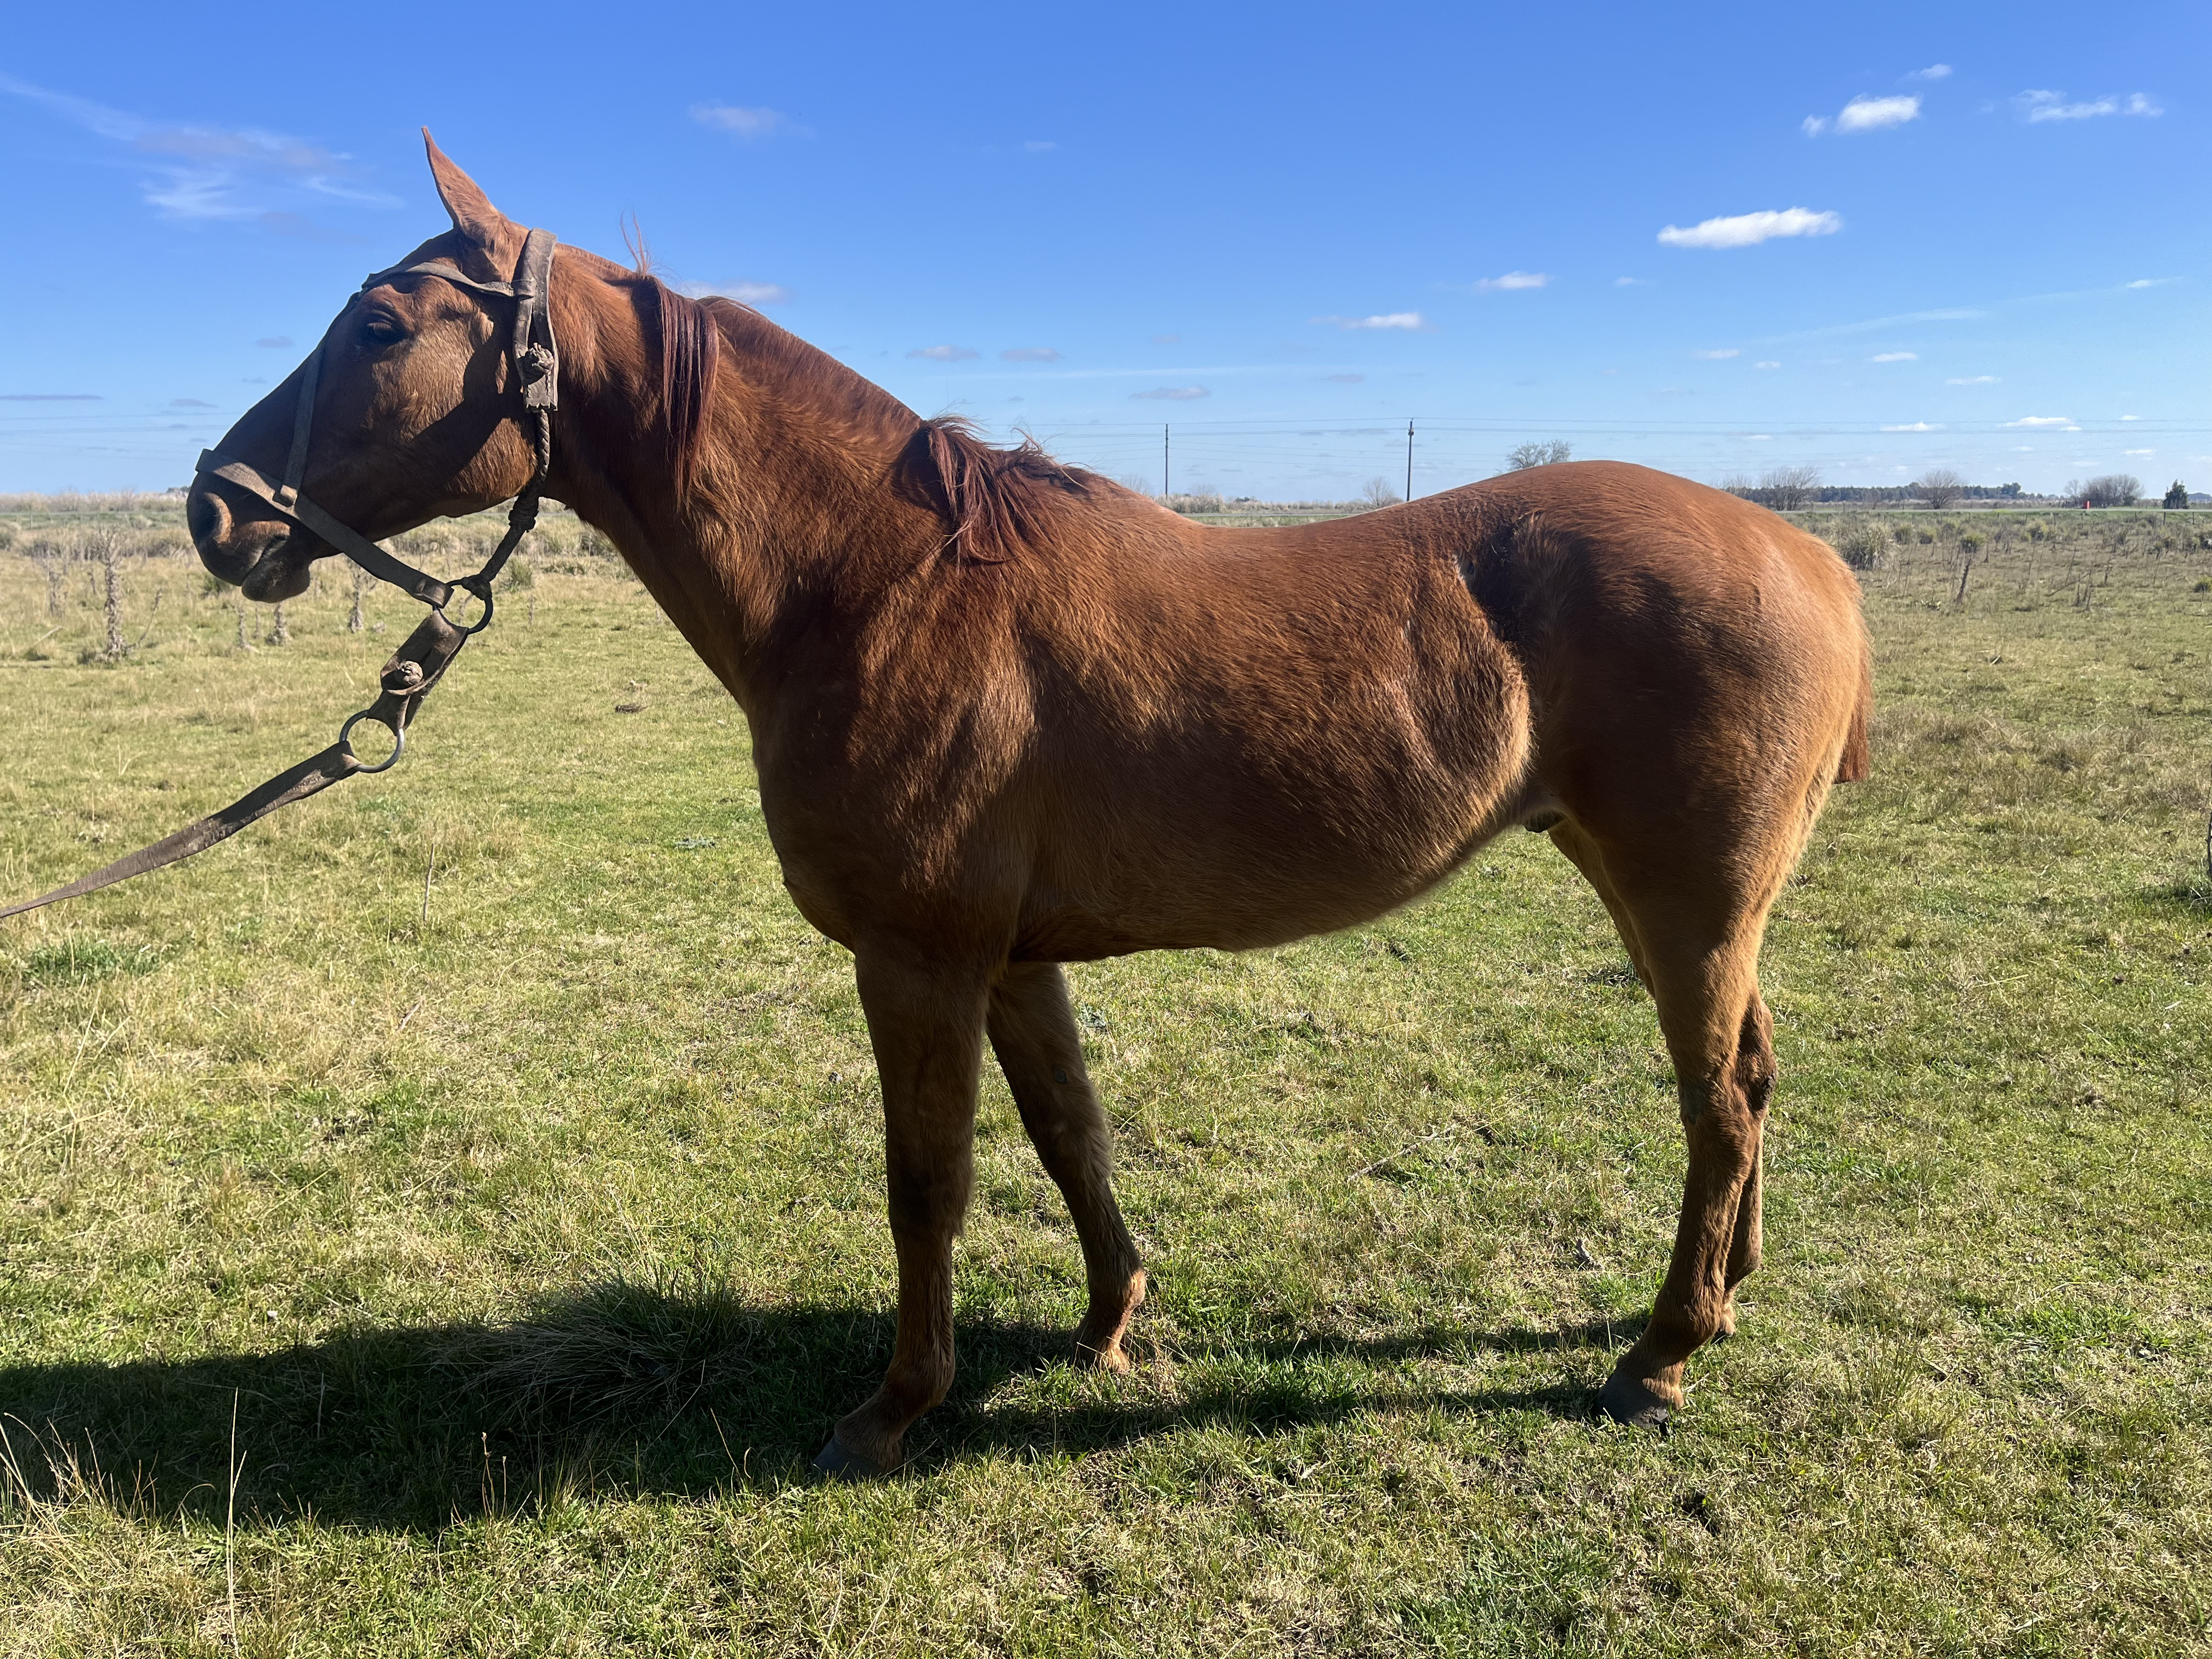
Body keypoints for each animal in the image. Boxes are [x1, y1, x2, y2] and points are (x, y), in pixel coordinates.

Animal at [187, 137, 1873, 1477]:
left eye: (382, 325)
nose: (216, 508)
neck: (880, 587)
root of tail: (1807, 554)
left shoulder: (919, 960)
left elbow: (925, 1181)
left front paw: (895, 1409)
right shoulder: (1013, 962)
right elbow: (1073, 1138)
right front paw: (1111, 1319)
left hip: (1683, 903)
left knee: (1718, 1103)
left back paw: (1660, 1354)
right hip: (1683, 907)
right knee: (1754, 1076)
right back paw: (1729, 1296)